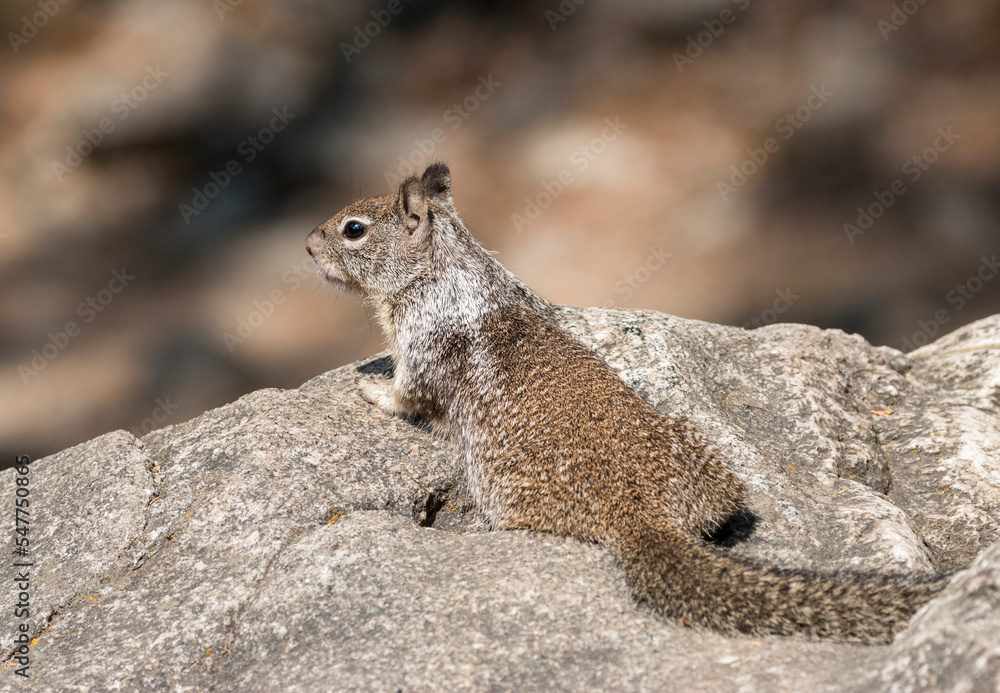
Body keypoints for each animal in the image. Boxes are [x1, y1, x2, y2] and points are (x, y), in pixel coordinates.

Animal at [305, 162, 948, 643]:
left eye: (354, 229)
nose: (308, 246)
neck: (449, 266)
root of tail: (640, 515)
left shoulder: (423, 342)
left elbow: (408, 394)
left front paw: (370, 388)